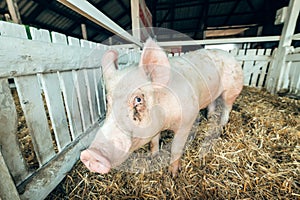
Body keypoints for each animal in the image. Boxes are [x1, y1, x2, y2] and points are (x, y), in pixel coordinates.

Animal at [80, 37, 244, 177]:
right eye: (108, 101)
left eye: (138, 99)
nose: (91, 154)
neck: (165, 121)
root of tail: (231, 57)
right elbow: (154, 141)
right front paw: (153, 156)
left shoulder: (187, 121)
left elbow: (176, 148)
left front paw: (173, 174)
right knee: (213, 102)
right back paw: (209, 117)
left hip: (233, 88)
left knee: (227, 106)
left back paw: (221, 124)